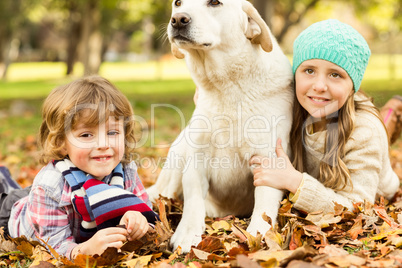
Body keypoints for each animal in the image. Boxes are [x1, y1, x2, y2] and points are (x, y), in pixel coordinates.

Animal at [147, 0, 292, 252]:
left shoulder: (269, 158)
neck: (227, 89)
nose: (178, 20)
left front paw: (259, 234)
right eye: (177, 3)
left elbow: (264, 203)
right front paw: (187, 233)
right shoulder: (197, 158)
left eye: (215, 2)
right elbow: (193, 198)